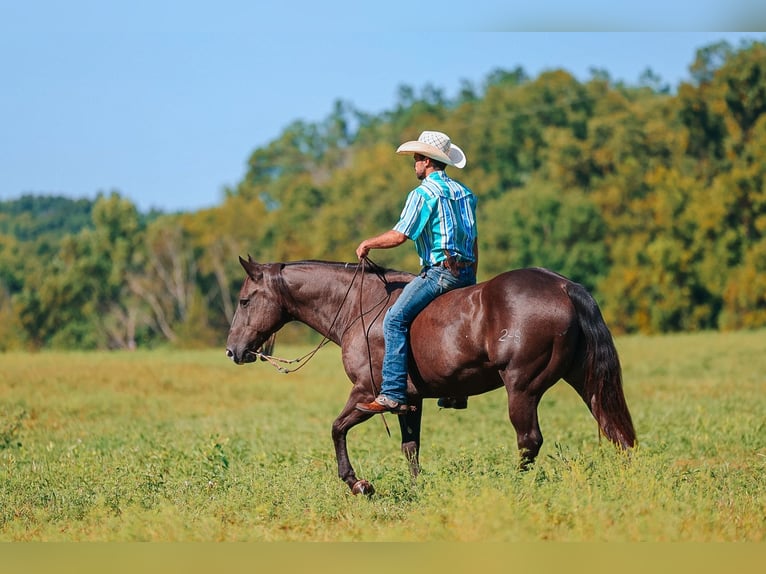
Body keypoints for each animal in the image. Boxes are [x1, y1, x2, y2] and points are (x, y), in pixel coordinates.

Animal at [225, 257, 636, 495]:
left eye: (244, 300)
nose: (232, 350)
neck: (361, 307)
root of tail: (565, 287)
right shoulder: (409, 401)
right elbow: (411, 447)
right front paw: (416, 488)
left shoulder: (367, 392)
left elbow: (337, 429)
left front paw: (358, 483)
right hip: (586, 381)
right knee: (616, 432)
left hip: (522, 388)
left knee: (529, 440)